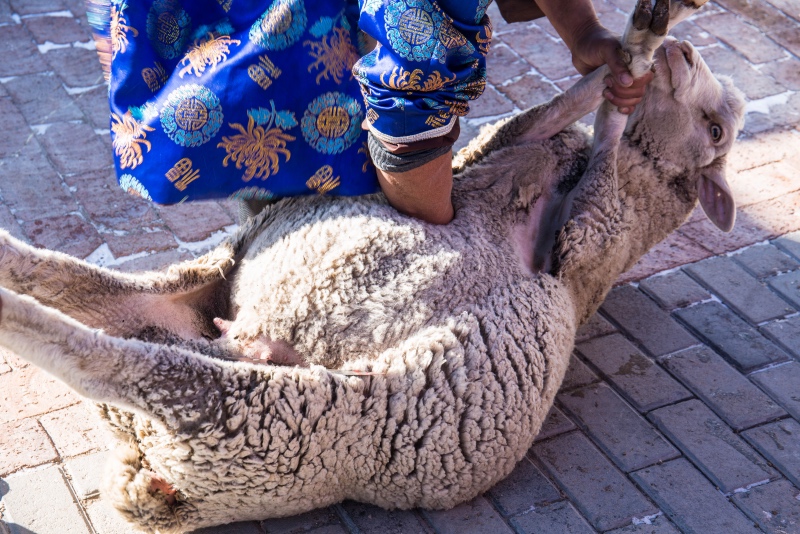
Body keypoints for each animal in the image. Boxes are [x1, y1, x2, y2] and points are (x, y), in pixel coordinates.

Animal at [0, 1, 744, 532]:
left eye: (717, 131)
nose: (682, 54)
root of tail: (144, 473)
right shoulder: (493, 156)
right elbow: (568, 101)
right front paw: (638, 42)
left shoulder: (587, 242)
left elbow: (601, 142)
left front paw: (642, 51)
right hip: (201, 296)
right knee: (70, 285)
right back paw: (16, 262)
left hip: (267, 414)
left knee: (111, 358)